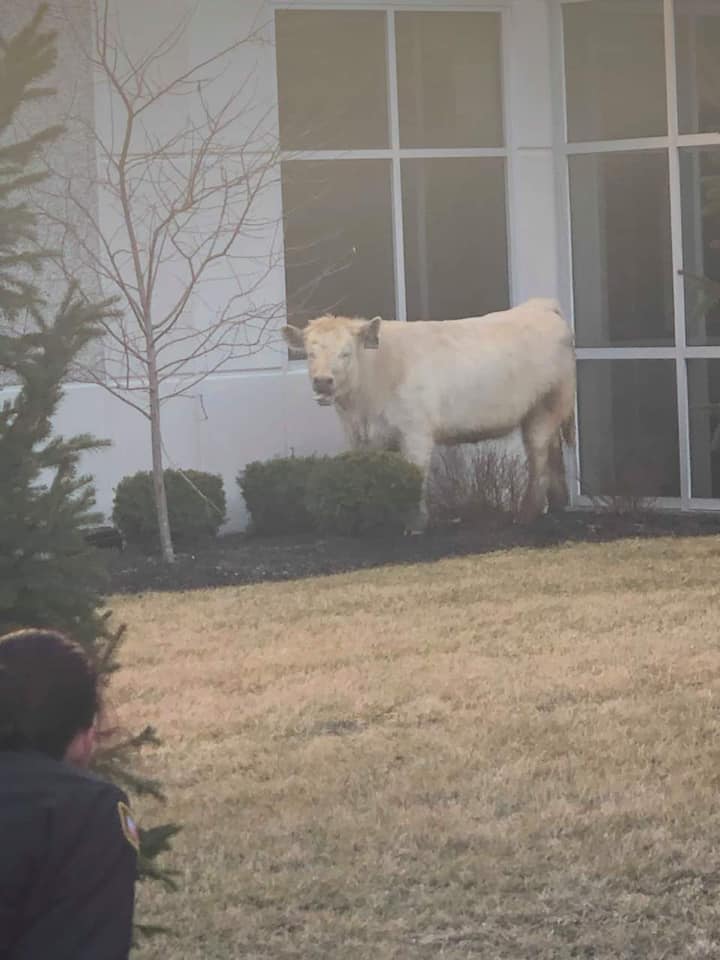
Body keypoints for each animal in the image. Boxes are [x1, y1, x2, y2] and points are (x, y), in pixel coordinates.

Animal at [284, 298, 576, 528]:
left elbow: (416, 475)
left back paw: (526, 514)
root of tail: (540, 306)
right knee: (552, 452)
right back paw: (558, 504)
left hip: (545, 406)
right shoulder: (359, 438)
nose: (323, 381)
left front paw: (416, 525)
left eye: (345, 353)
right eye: (309, 353)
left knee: (538, 457)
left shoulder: (416, 433)